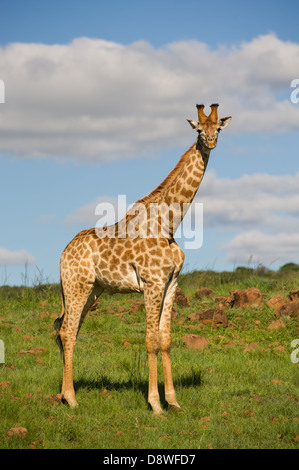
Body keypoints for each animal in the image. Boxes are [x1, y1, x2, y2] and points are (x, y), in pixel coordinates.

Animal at [54, 103, 232, 414]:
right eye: (199, 130)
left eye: (218, 129)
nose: (210, 142)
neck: (169, 224)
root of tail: (64, 252)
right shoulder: (152, 283)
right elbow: (151, 341)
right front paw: (155, 404)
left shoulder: (171, 284)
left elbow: (166, 340)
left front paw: (173, 401)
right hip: (77, 286)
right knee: (66, 331)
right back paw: (72, 399)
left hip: (93, 290)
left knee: (69, 331)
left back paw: (66, 395)